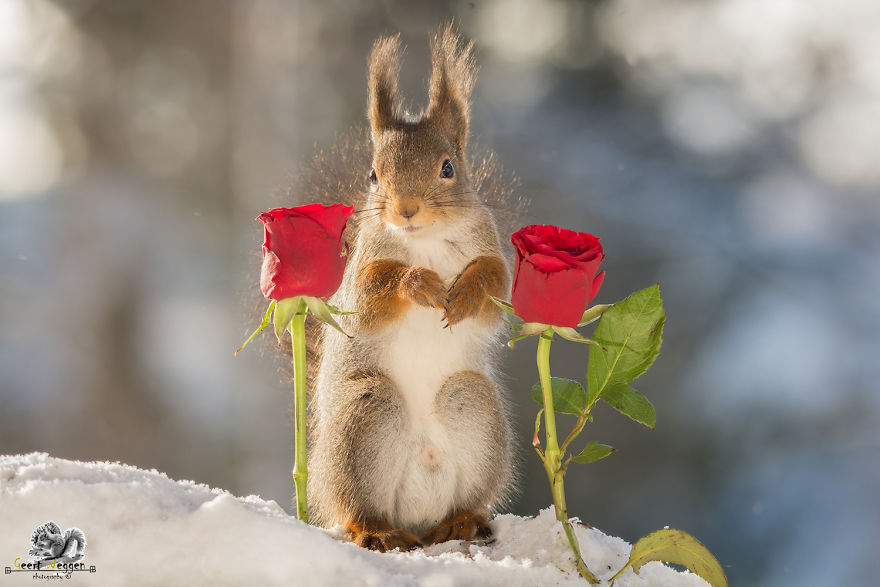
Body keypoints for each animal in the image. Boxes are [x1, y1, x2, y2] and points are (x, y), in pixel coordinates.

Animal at [290, 24, 521, 552]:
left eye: (448, 168)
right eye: (373, 174)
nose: (406, 209)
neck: (426, 241)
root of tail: (416, 518)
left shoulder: (490, 252)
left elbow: (492, 294)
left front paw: (463, 294)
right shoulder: (361, 274)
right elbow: (372, 298)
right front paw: (420, 284)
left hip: (472, 406)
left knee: (461, 499)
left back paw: (461, 522)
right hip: (365, 417)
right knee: (358, 508)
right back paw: (376, 530)